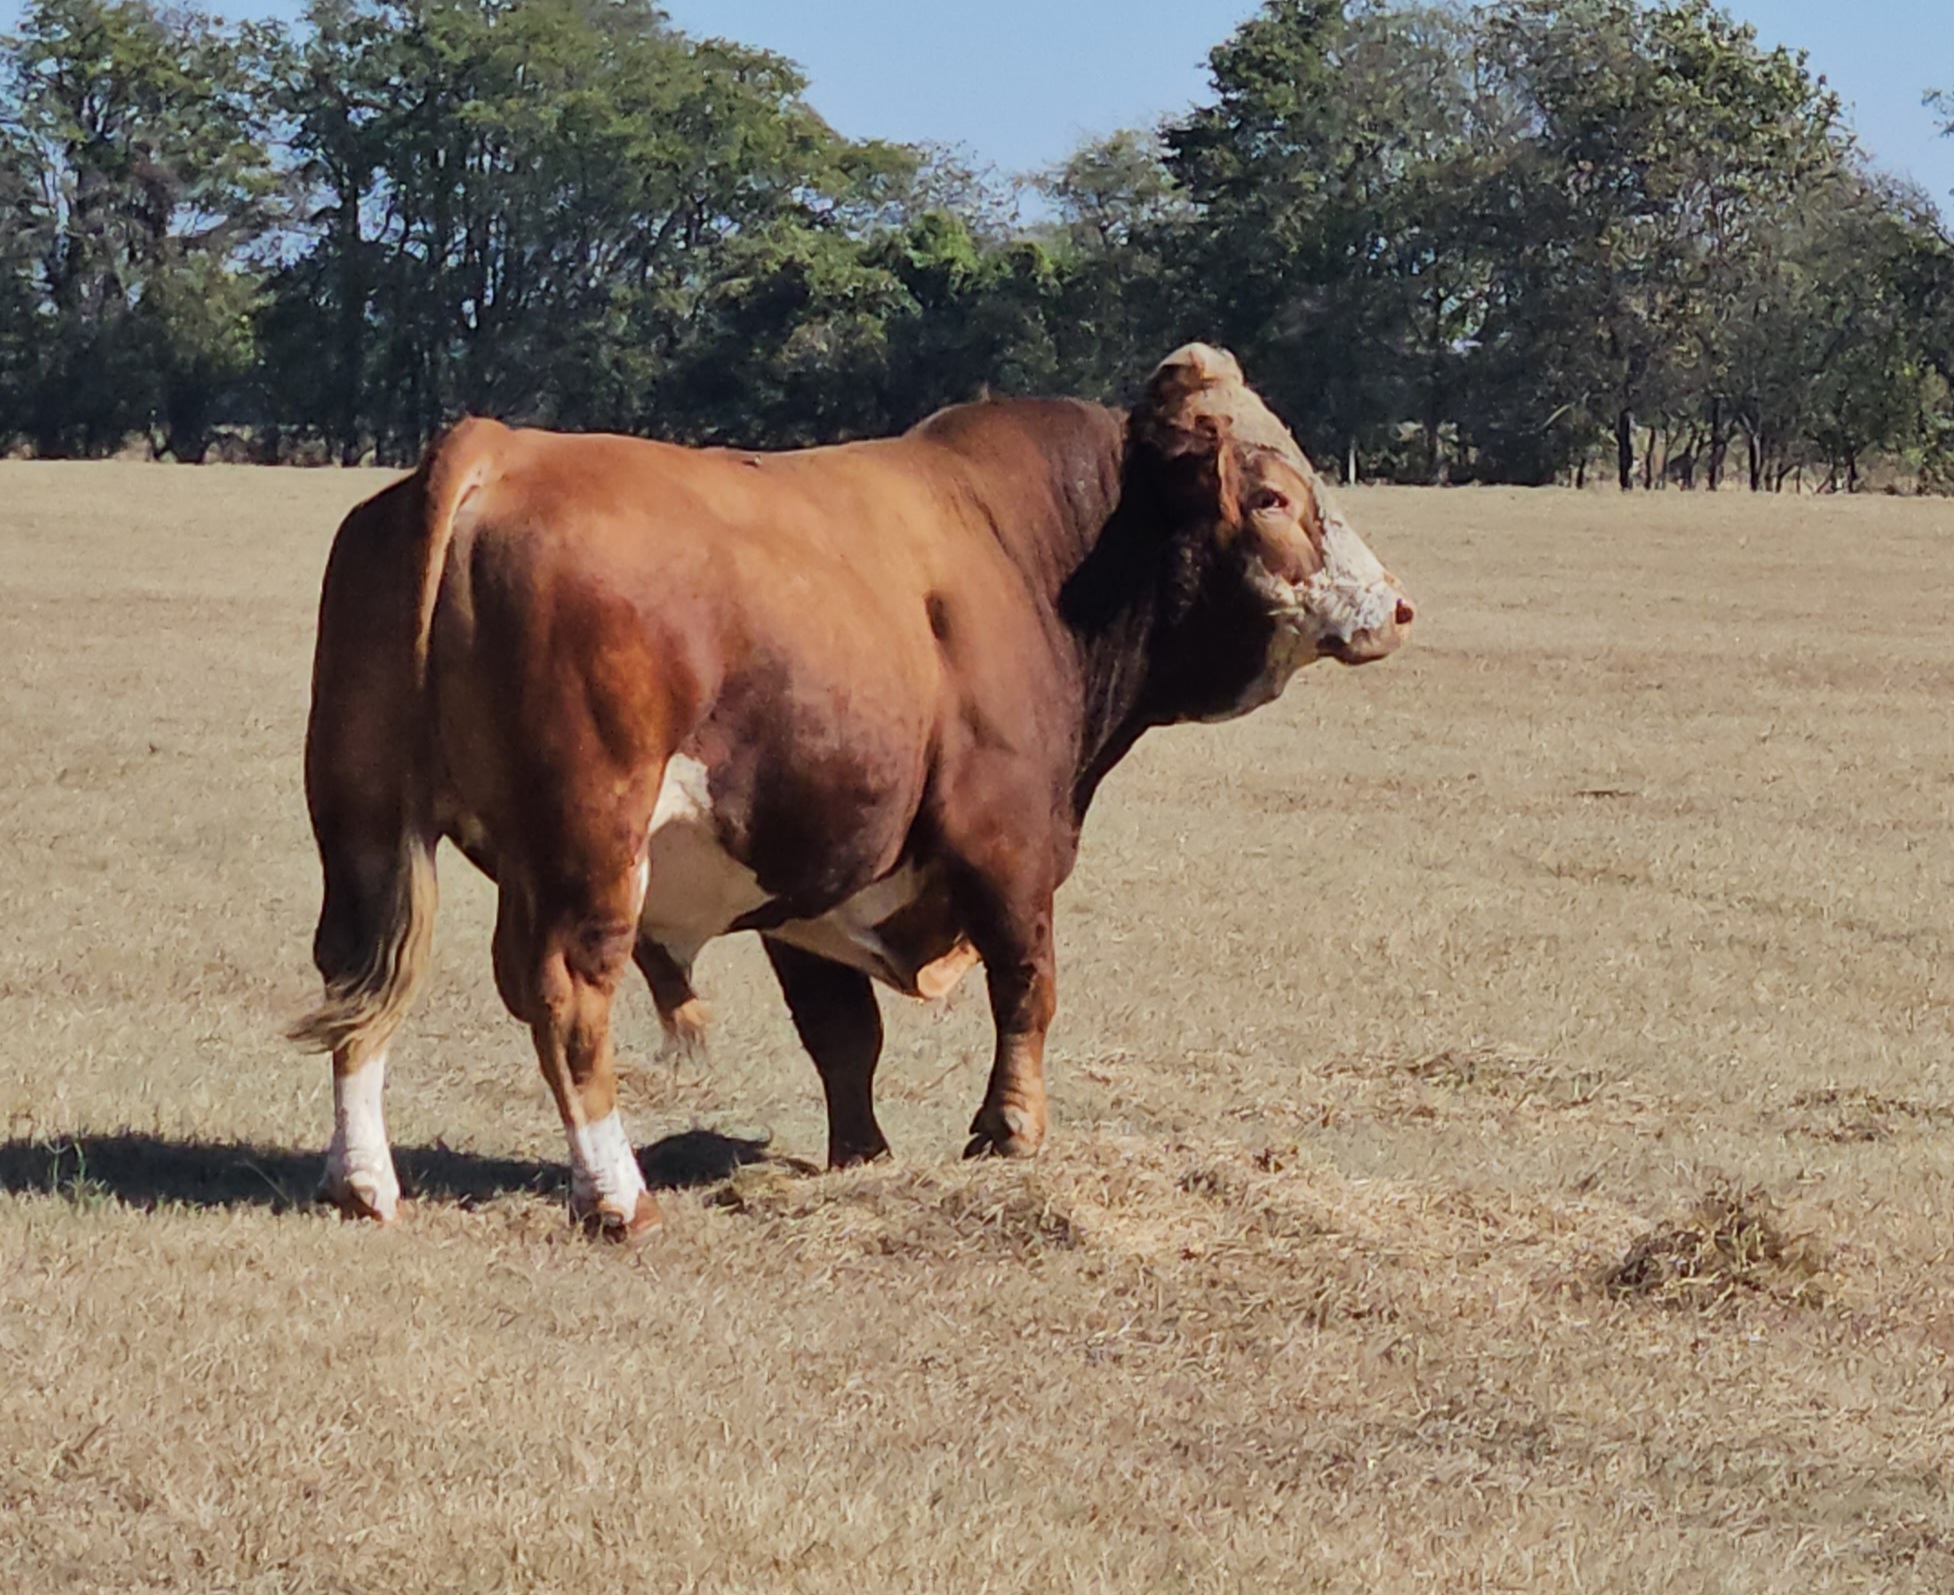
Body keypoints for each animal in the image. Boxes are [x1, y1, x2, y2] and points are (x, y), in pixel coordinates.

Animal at [289, 343, 1414, 1239]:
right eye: (1271, 496)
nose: (1394, 605)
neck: (1035, 552)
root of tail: (492, 449)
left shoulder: (810, 871)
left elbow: (842, 1033)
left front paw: (862, 1157)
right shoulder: (1008, 843)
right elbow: (1027, 986)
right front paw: (1011, 1131)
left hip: (364, 822)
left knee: (357, 978)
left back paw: (362, 1182)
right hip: (593, 842)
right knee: (567, 993)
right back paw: (615, 1192)